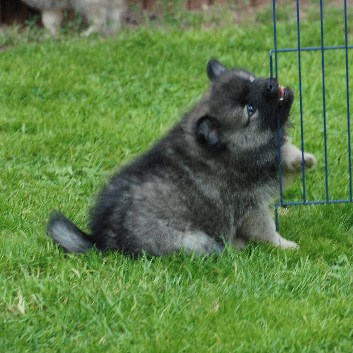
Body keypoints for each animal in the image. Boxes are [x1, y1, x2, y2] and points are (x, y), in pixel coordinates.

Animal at [48, 59, 314, 254]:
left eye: (250, 80)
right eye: (250, 110)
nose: (269, 84)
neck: (230, 150)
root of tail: (102, 241)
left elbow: (280, 151)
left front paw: (299, 157)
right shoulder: (249, 207)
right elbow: (266, 230)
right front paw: (285, 246)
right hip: (192, 240)